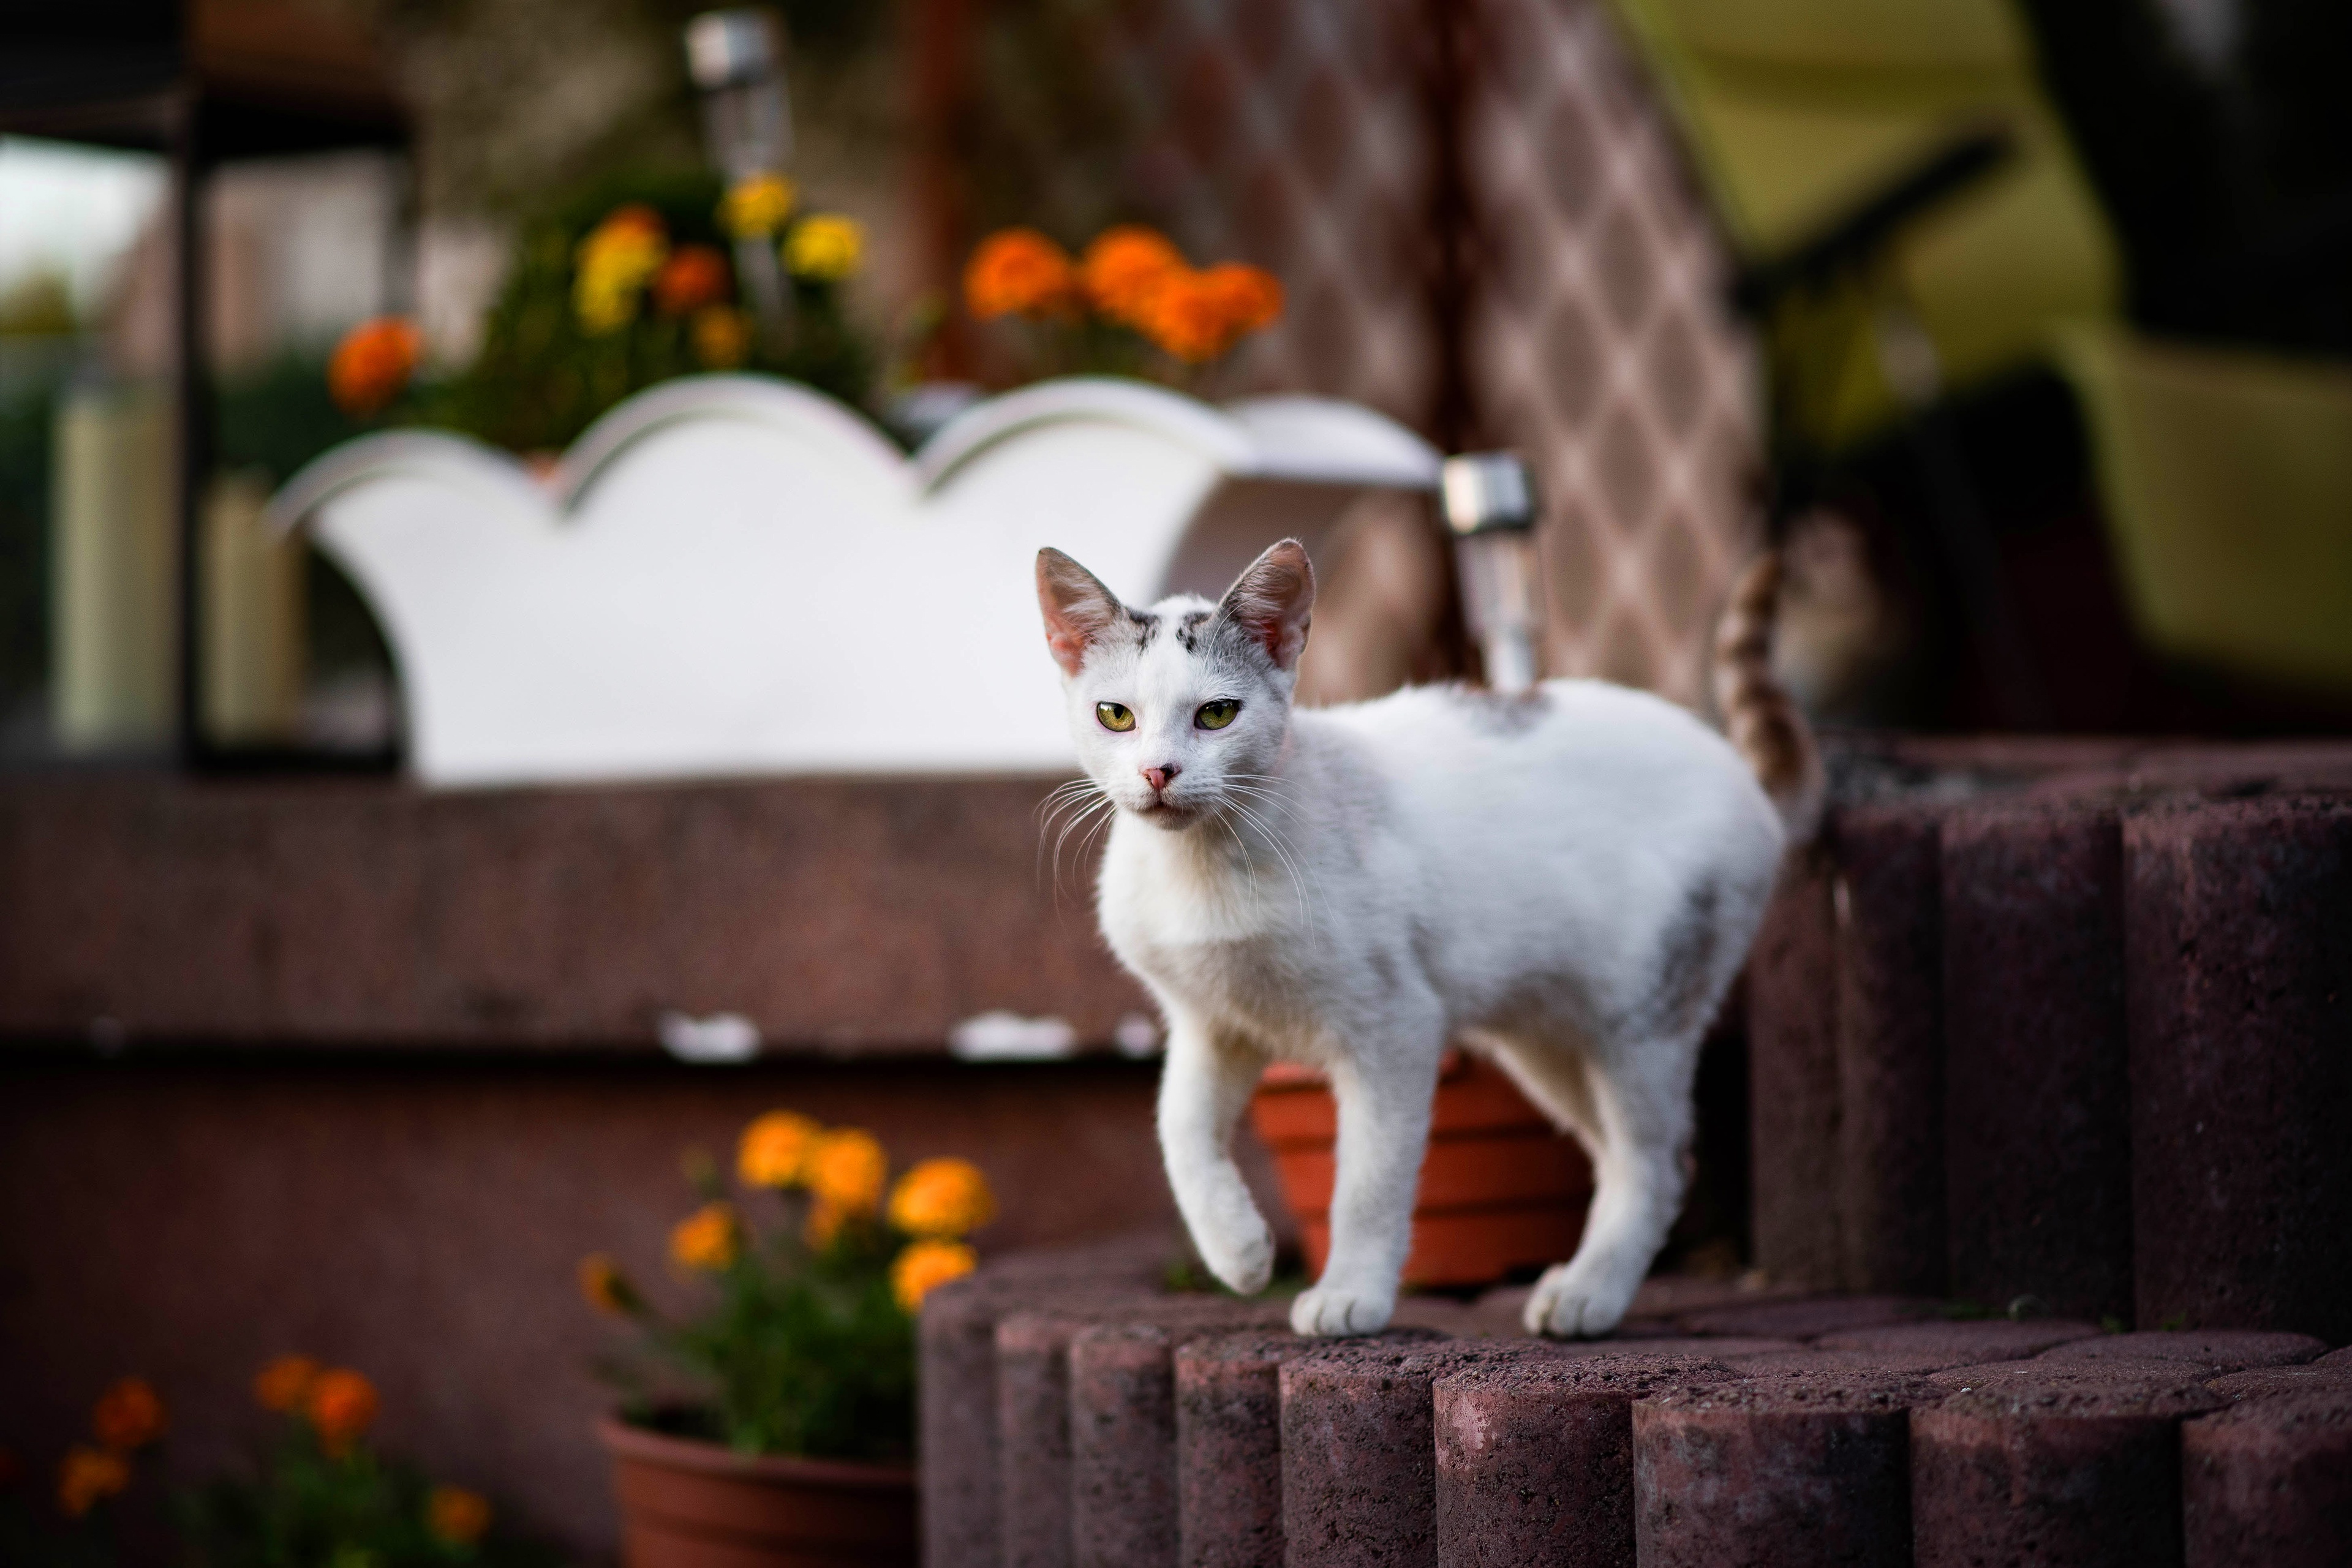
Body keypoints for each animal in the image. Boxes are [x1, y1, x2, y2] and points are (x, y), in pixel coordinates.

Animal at [1039, 540, 1825, 1335]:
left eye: (1217, 714)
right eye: (1115, 715)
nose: (1157, 771)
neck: (1204, 866)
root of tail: (1741, 773)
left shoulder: (1395, 1028)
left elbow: (1368, 1181)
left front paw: (1351, 1293)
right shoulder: (1210, 1022)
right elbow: (1180, 1131)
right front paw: (1238, 1250)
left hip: (1640, 1022)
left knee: (1655, 1163)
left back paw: (1591, 1294)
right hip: (1546, 1040)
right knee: (1625, 1154)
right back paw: (1575, 1281)